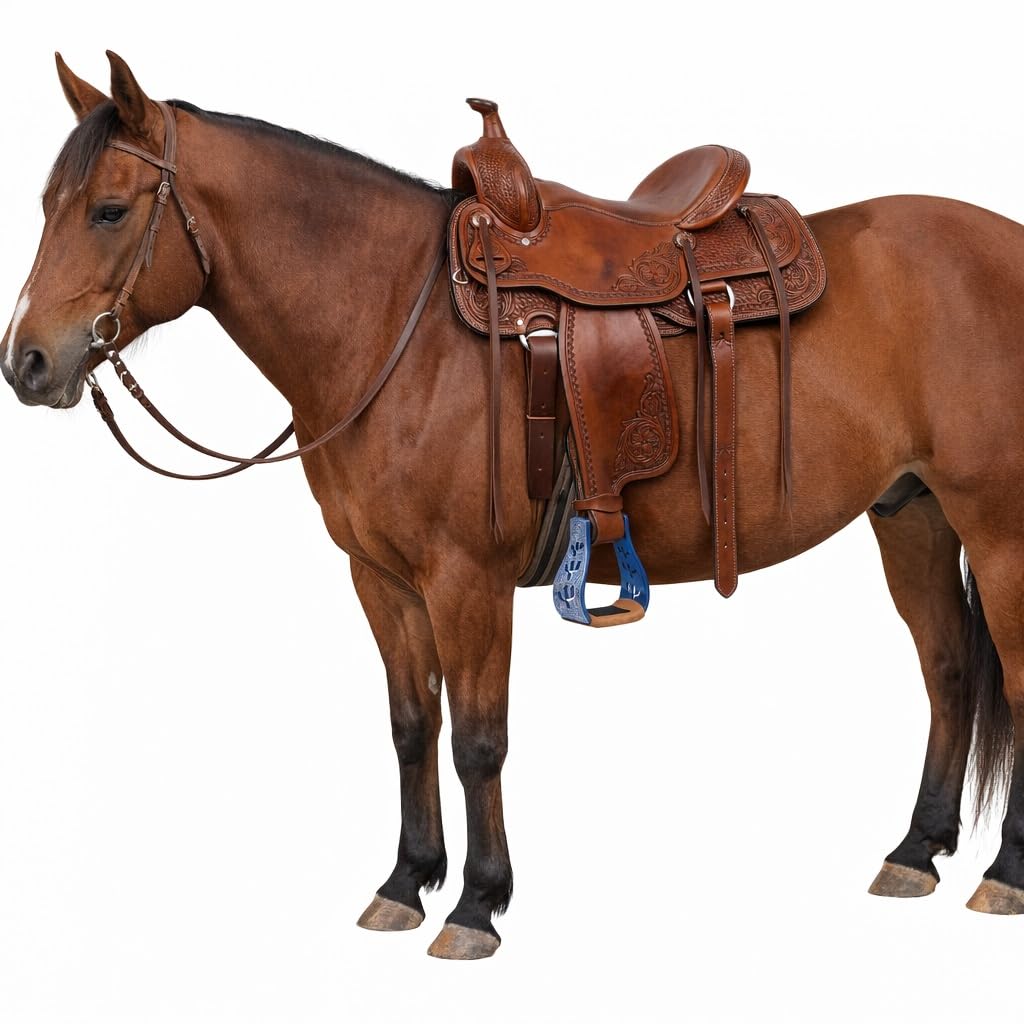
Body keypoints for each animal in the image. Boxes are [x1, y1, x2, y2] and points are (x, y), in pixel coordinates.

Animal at [2, 51, 1022, 959]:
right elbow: (412, 727)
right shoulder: (381, 578)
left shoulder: (469, 581)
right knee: (947, 671)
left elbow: (478, 740)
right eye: (46, 205)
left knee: (1010, 680)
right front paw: (405, 882)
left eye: (108, 210)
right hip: (912, 514)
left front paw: (476, 906)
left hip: (998, 529)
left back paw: (1002, 873)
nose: (28, 363)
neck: (392, 321)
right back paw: (916, 852)